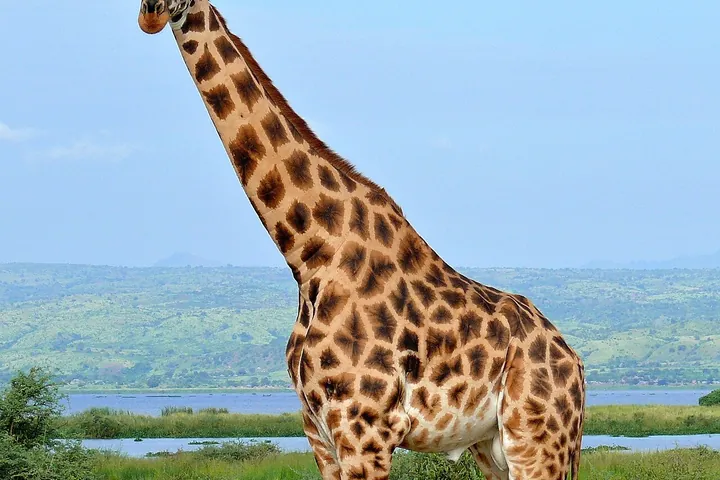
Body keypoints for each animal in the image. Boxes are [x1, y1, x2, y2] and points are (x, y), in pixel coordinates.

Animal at [137, 1, 586, 479]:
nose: (149, 17)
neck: (309, 250)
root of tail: (576, 365)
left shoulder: (364, 428)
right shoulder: (318, 430)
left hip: (537, 438)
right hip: (493, 445)